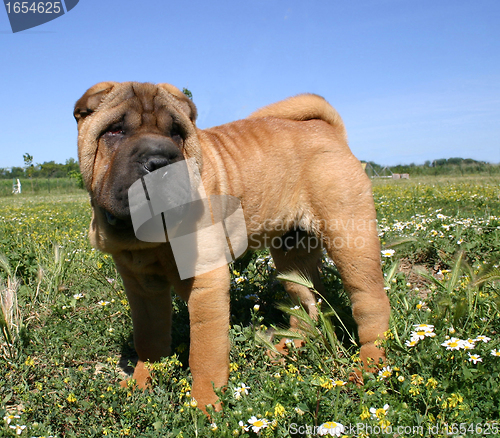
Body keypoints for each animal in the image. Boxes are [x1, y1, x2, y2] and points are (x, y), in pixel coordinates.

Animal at [74, 81, 392, 410]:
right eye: (115, 130)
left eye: (177, 132)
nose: (160, 163)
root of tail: (329, 131)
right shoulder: (141, 287)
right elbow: (148, 338)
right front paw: (140, 384)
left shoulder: (206, 280)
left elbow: (205, 351)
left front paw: (203, 404)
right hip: (292, 254)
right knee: (306, 303)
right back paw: (286, 348)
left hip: (350, 240)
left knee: (370, 303)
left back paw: (367, 369)